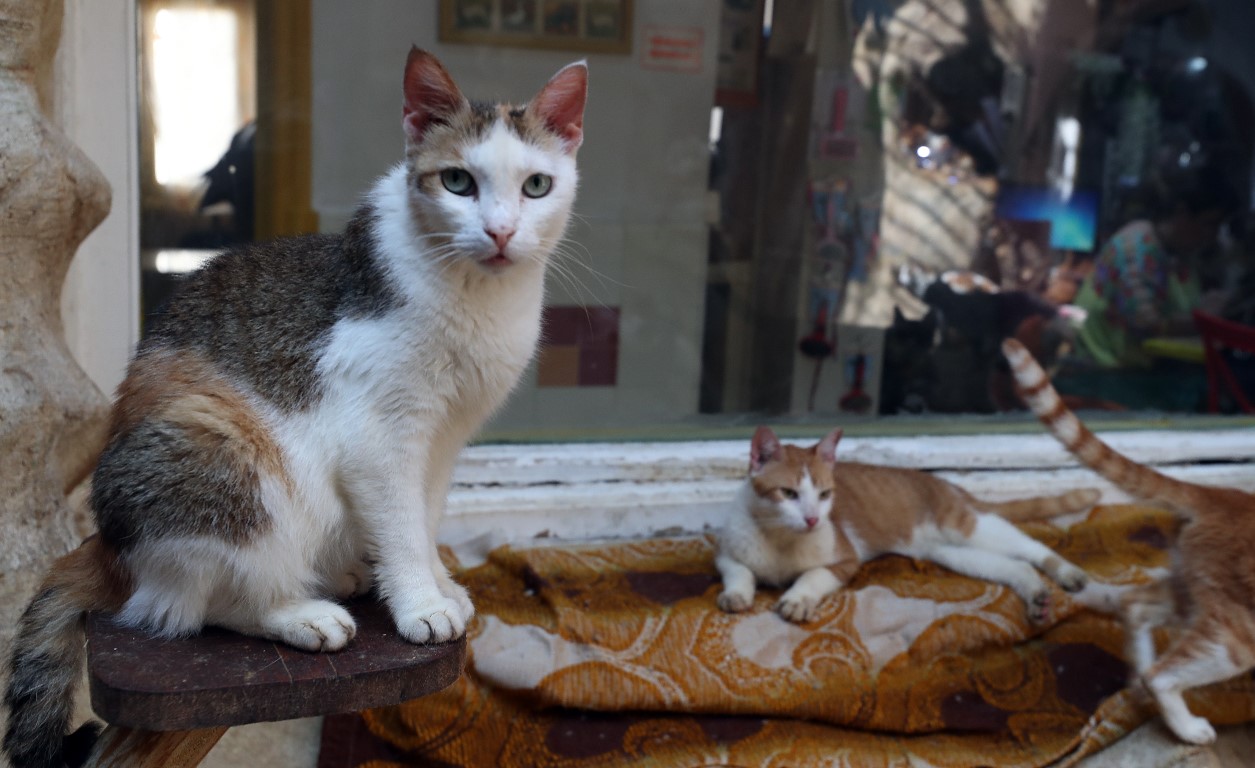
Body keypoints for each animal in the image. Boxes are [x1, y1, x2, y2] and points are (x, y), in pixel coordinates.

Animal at [1, 48, 587, 768]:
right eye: (457, 181)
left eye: (536, 186)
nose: (500, 232)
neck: (478, 299)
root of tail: (105, 549)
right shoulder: (380, 437)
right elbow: (400, 525)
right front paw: (420, 603)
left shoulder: (444, 439)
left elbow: (423, 519)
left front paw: (436, 584)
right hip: (220, 451)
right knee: (192, 605)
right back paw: (301, 613)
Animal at [717, 424, 1099, 627]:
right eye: (789, 493)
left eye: (825, 494)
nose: (812, 519)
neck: (780, 539)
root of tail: (948, 484)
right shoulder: (725, 554)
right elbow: (740, 570)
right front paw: (736, 594)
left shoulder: (846, 560)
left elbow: (812, 574)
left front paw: (797, 598)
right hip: (952, 552)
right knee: (1014, 566)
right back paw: (1036, 595)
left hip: (966, 525)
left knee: (1030, 548)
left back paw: (1067, 573)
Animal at [1004, 336, 1255, 742]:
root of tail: (1226, 497)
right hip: (1238, 633)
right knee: (1162, 675)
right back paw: (1185, 724)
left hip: (1200, 594)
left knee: (1135, 605)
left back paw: (1136, 684)